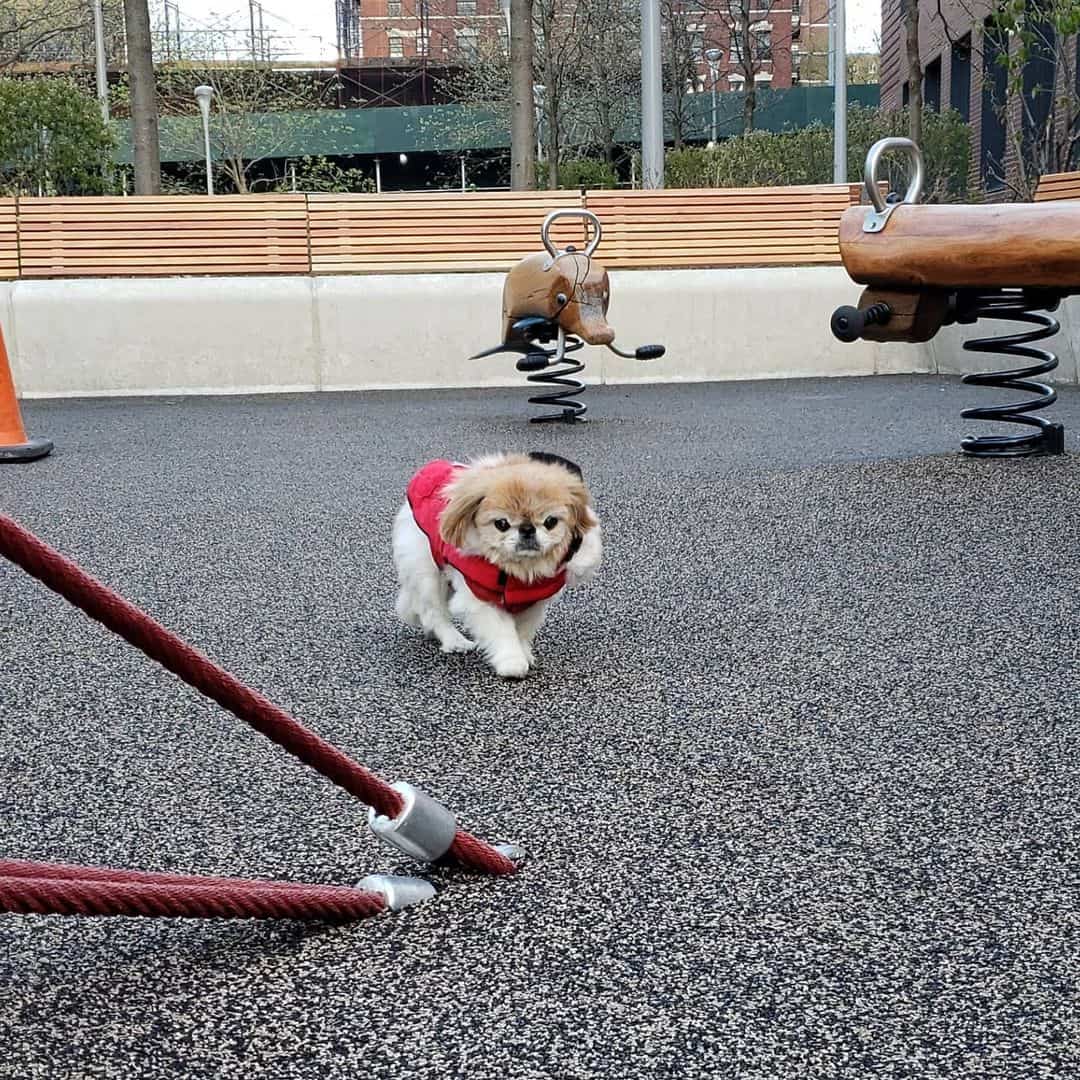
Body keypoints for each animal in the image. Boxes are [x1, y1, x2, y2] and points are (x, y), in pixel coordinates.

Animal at [393, 451, 604, 678]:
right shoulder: (480, 601)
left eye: (550, 522)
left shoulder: (532, 603)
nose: (527, 529)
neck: (519, 571)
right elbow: (502, 633)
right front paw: (512, 663)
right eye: (501, 524)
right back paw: (455, 641)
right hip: (429, 574)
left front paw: (524, 654)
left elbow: (521, 632)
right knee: (434, 612)